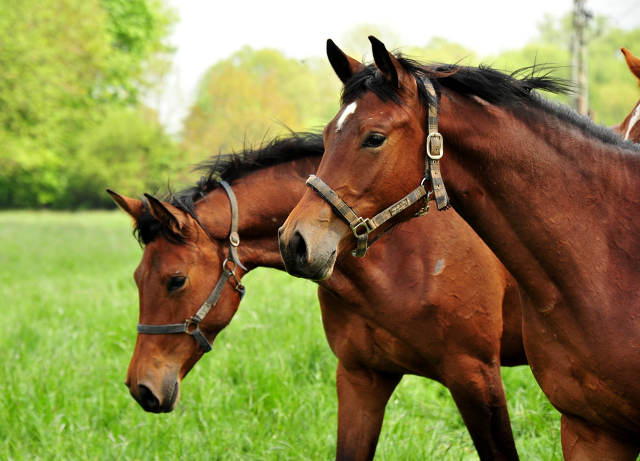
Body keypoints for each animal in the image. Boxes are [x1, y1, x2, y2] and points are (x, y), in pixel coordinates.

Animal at [110, 131, 528, 458]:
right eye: (136, 279)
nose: (140, 387)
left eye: (175, 280)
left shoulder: (475, 377)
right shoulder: (361, 379)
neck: (399, 248)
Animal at [280, 36, 640, 460]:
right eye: (325, 137)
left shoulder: (474, 371)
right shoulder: (590, 429)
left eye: (374, 138)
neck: (607, 254)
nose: (294, 240)